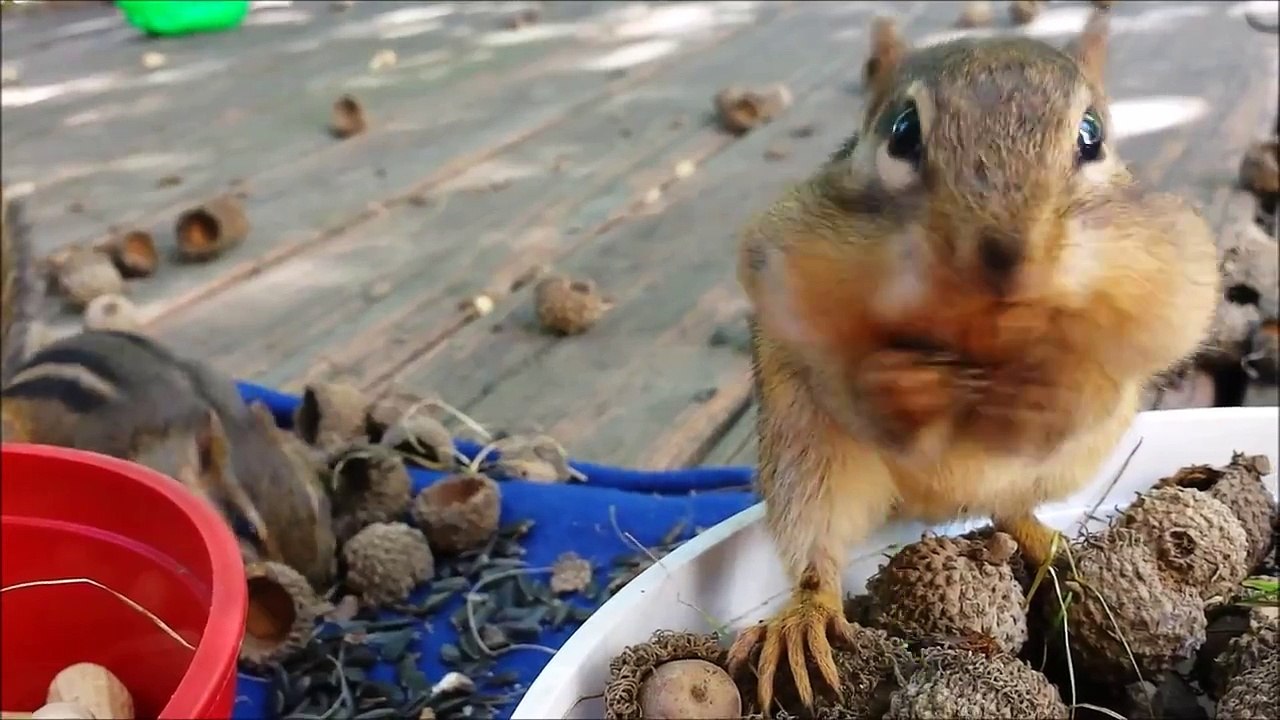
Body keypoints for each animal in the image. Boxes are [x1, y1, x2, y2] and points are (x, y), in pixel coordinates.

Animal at [727, 9, 1219, 714]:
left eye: (1091, 136)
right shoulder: (790, 257)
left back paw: (1057, 552)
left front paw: (1051, 392)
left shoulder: (1172, 264)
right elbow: (835, 361)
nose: (1004, 256)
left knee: (1013, 509)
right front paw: (903, 385)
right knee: (817, 546)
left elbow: (1135, 350)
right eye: (903, 132)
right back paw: (805, 619)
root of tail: (934, 509)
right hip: (805, 452)